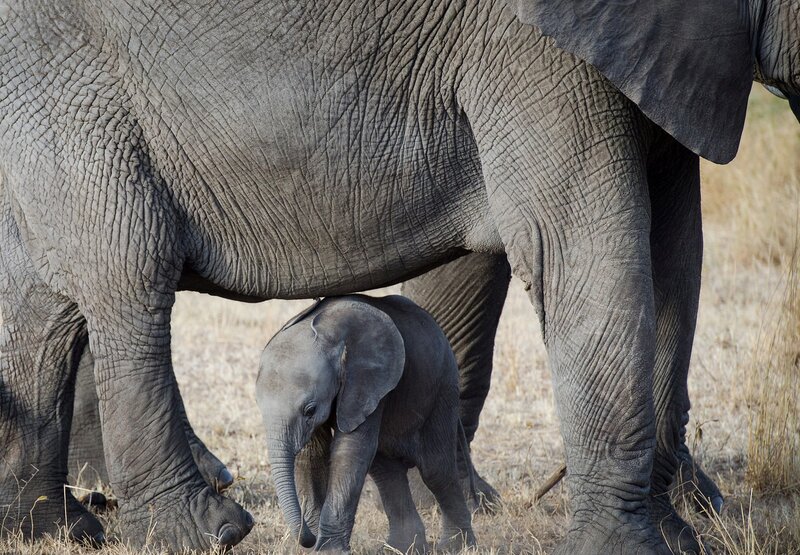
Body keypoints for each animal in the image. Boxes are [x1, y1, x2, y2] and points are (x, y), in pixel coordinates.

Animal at [256, 294, 477, 553]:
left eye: (310, 410)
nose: (308, 537)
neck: (330, 335)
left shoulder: (368, 382)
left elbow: (350, 451)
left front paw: (329, 550)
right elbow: (312, 453)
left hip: (443, 387)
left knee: (436, 469)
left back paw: (456, 547)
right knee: (386, 469)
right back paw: (403, 548)